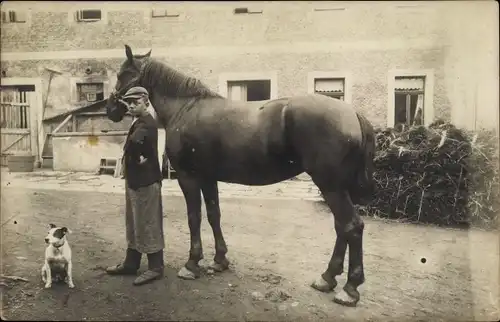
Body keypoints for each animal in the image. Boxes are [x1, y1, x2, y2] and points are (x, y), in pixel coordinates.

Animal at [106, 45, 376, 306]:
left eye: (123, 74)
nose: (110, 109)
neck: (185, 108)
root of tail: (351, 113)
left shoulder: (189, 177)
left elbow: (194, 217)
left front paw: (192, 264)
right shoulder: (208, 178)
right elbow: (214, 215)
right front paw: (219, 260)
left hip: (330, 186)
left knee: (351, 226)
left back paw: (349, 289)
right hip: (337, 187)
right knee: (342, 227)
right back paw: (327, 278)